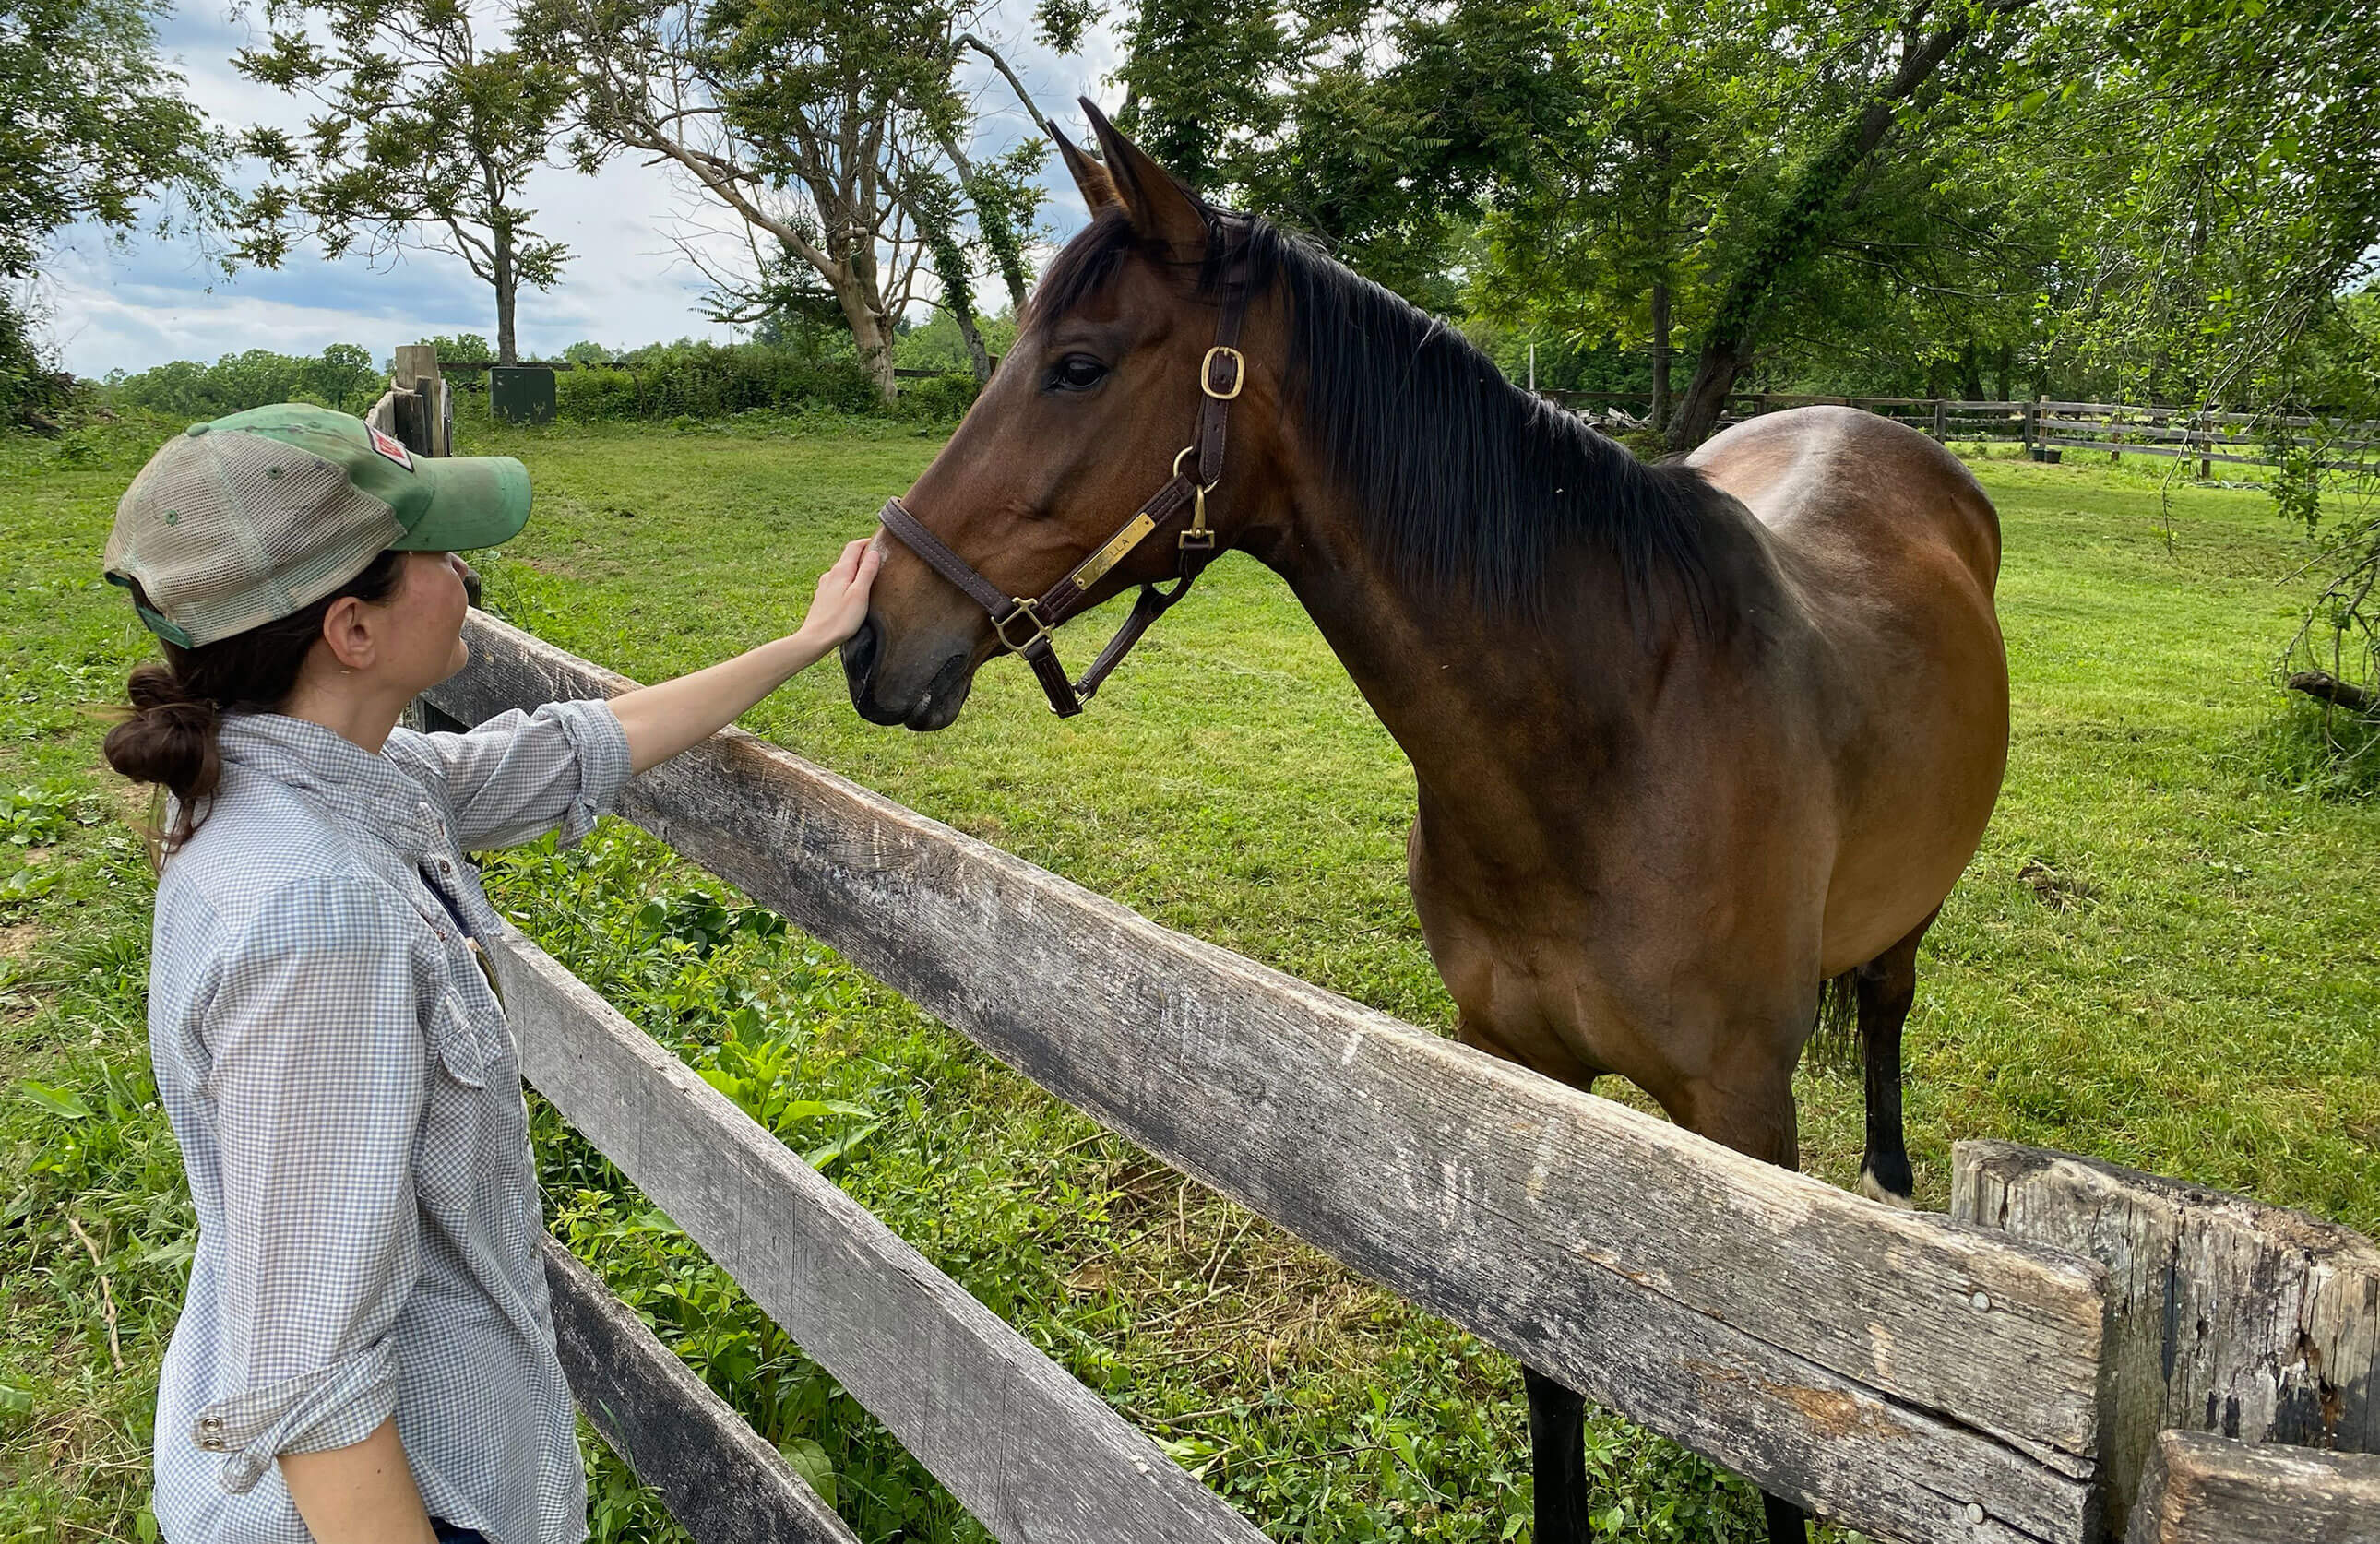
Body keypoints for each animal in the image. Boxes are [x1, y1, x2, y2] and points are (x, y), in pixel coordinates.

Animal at [847, 101, 1999, 1532]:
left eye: (1076, 366)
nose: (871, 632)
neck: (1618, 739)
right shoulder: (1516, 1074)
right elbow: (1553, 1376)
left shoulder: (1747, 1113)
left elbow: (1779, 1456)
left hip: (1906, 922)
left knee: (1889, 1009)